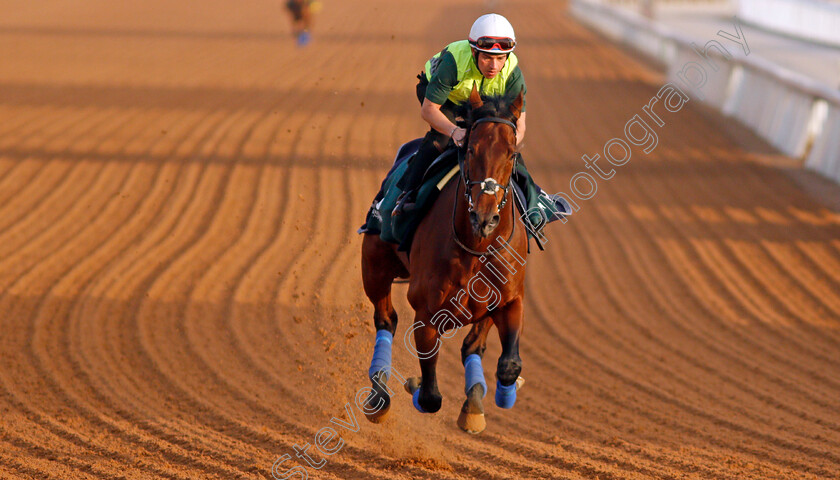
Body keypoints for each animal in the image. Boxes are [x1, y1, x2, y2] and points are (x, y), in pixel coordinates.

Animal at [360, 86, 524, 436]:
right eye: (471, 149)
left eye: (511, 154)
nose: (485, 217)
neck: (476, 246)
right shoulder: (426, 309)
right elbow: (431, 396)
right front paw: (415, 386)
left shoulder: (509, 299)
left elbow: (507, 364)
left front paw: (500, 396)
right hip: (374, 264)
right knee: (386, 319)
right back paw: (379, 396)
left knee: (472, 346)